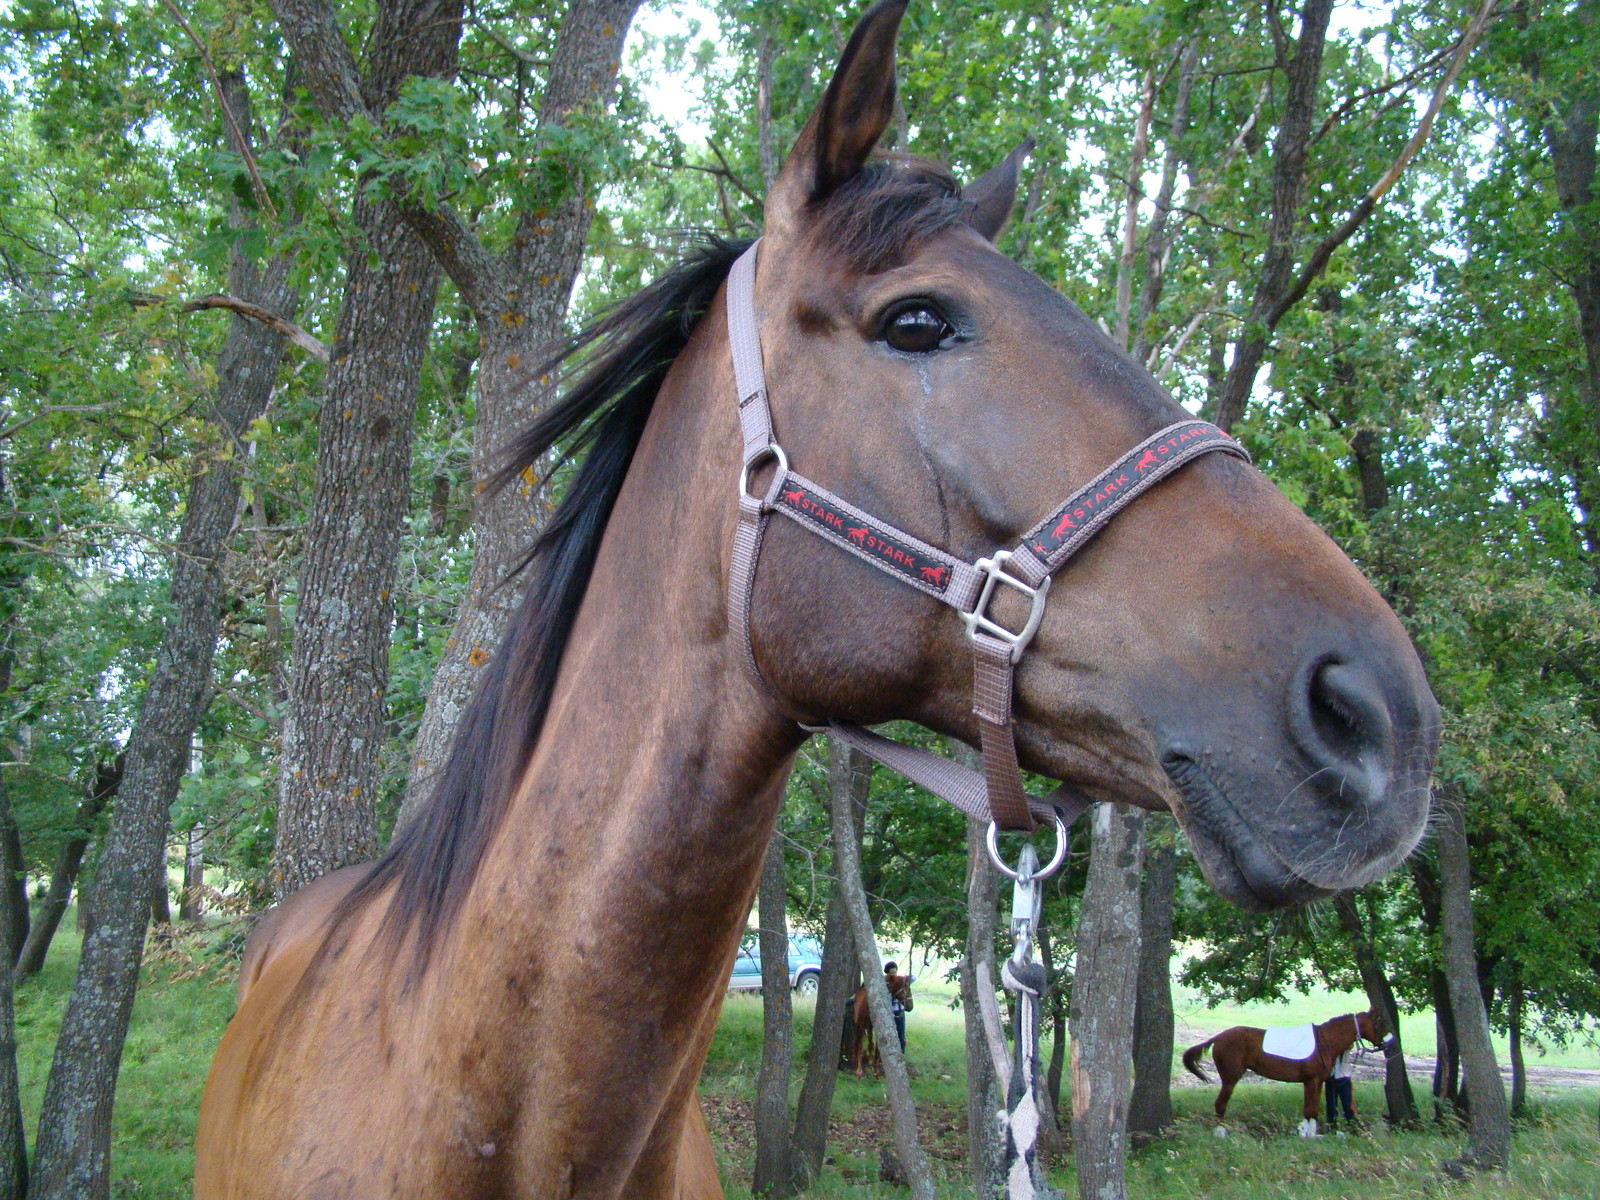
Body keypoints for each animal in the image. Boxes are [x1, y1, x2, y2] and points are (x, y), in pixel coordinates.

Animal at [1184, 1004, 1395, 1139]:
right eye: (1379, 1021)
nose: (1388, 1043)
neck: (1324, 1042)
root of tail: (1218, 1037)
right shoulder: (1312, 1081)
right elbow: (1310, 1110)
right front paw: (1307, 1135)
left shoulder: (1315, 1082)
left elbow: (1311, 1109)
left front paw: (1308, 1133)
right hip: (1230, 1080)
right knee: (1220, 1104)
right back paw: (1220, 1133)